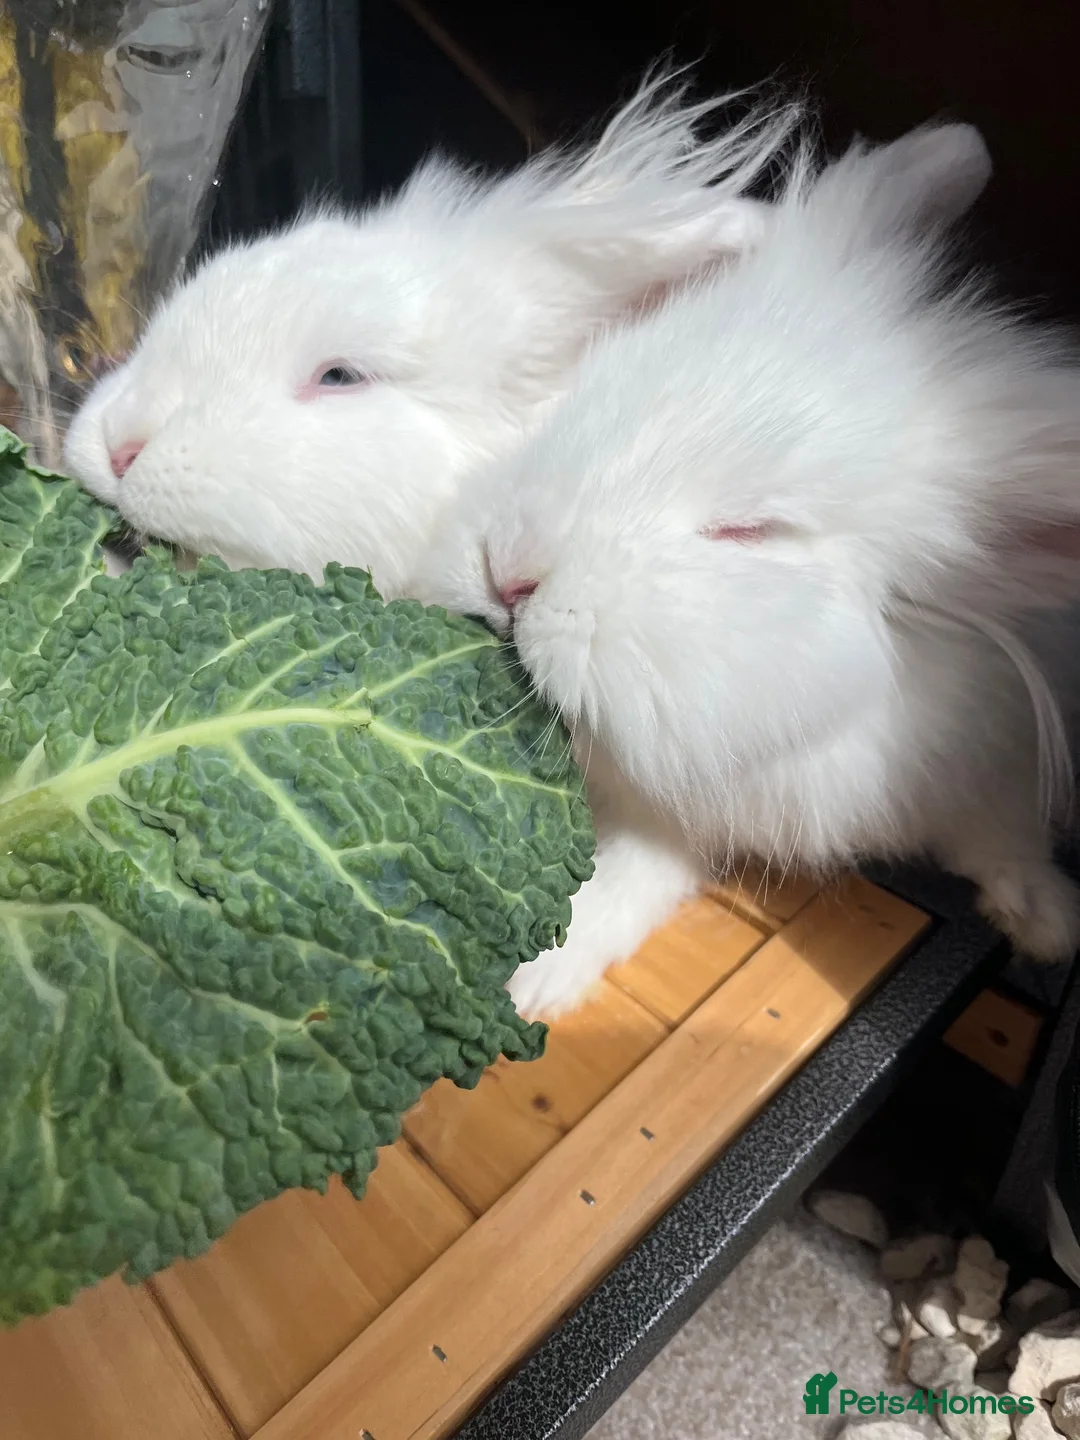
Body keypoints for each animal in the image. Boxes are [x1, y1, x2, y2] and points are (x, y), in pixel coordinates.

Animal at [414, 118, 1080, 1019]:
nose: (510, 573)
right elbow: (621, 884)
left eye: (750, 532)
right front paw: (534, 979)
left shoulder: (986, 736)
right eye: (604, 387)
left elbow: (998, 824)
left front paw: (1047, 921)